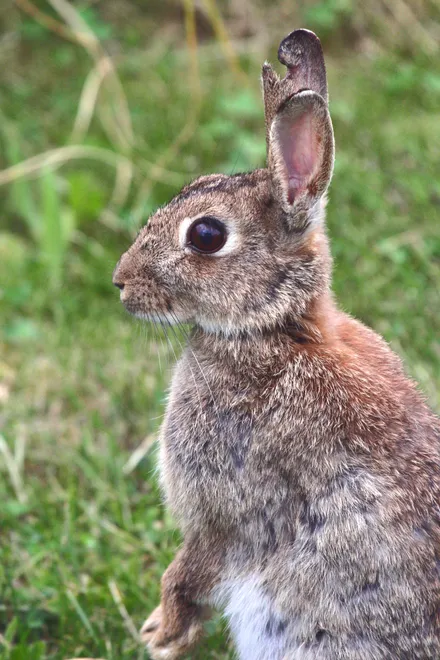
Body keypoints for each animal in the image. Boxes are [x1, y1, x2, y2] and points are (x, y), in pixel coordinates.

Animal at [113, 29, 440, 660]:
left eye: (206, 234)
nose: (119, 282)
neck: (275, 328)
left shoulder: (225, 511)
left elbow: (191, 572)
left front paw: (161, 633)